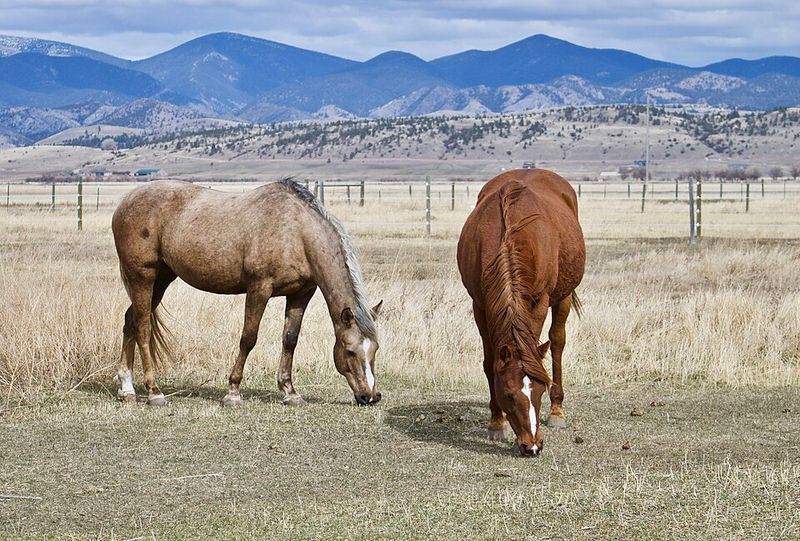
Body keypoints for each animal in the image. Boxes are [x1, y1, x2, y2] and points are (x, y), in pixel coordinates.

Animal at [111, 178, 382, 407]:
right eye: (350, 350)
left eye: (375, 350)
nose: (370, 396)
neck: (296, 232)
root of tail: (125, 202)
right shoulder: (259, 290)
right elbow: (248, 338)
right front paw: (232, 393)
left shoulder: (301, 294)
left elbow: (290, 339)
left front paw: (290, 392)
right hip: (143, 277)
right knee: (142, 327)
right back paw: (153, 392)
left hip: (162, 279)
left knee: (130, 321)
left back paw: (127, 389)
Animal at [457, 169, 585, 456]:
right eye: (509, 395)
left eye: (540, 391)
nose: (532, 446)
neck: (508, 237)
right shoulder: (479, 305)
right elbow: (489, 362)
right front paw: (496, 423)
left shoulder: (539, 301)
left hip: (564, 296)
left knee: (557, 342)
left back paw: (557, 410)